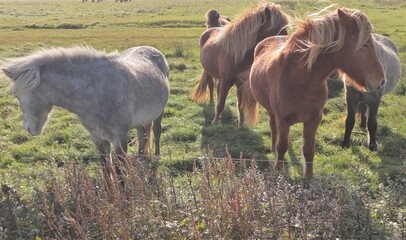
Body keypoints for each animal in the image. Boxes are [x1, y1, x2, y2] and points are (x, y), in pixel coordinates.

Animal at [1, 45, 170, 161]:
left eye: (17, 96)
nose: (28, 129)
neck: (96, 93)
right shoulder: (97, 138)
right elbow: (106, 167)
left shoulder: (119, 138)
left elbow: (120, 172)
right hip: (140, 121)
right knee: (143, 138)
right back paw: (141, 161)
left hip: (159, 114)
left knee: (156, 132)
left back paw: (156, 157)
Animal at [243, 6, 386, 177]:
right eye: (365, 44)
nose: (381, 81)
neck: (300, 81)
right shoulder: (282, 119)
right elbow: (282, 147)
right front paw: (279, 172)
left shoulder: (314, 120)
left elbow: (308, 150)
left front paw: (309, 178)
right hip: (272, 113)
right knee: (273, 127)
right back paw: (273, 149)